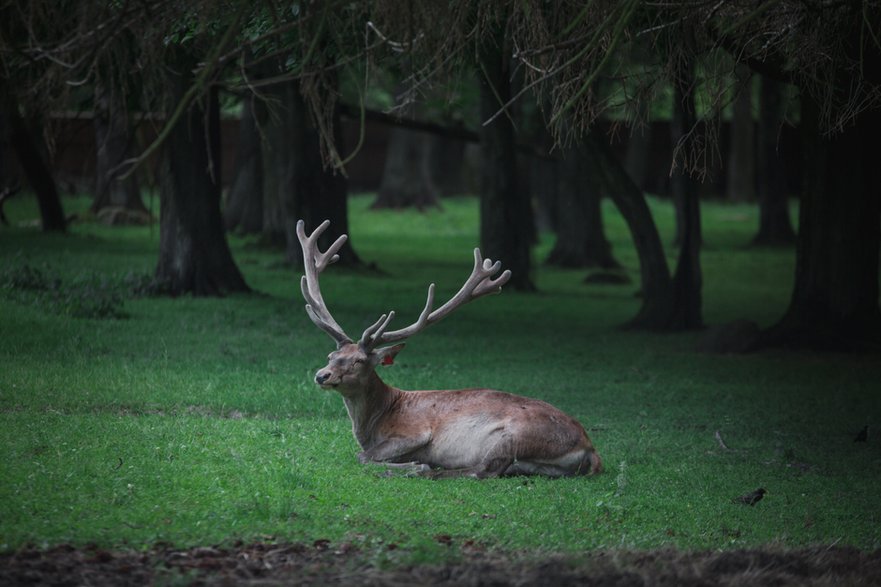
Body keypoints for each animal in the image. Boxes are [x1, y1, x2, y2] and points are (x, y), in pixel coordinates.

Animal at [300, 219, 600, 478]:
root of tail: (590, 449)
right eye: (332, 355)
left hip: (512, 436)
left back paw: (417, 469)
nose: (322, 375)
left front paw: (413, 463)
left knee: (482, 471)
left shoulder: (415, 431)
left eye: (359, 360)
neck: (376, 422)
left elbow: (362, 456)